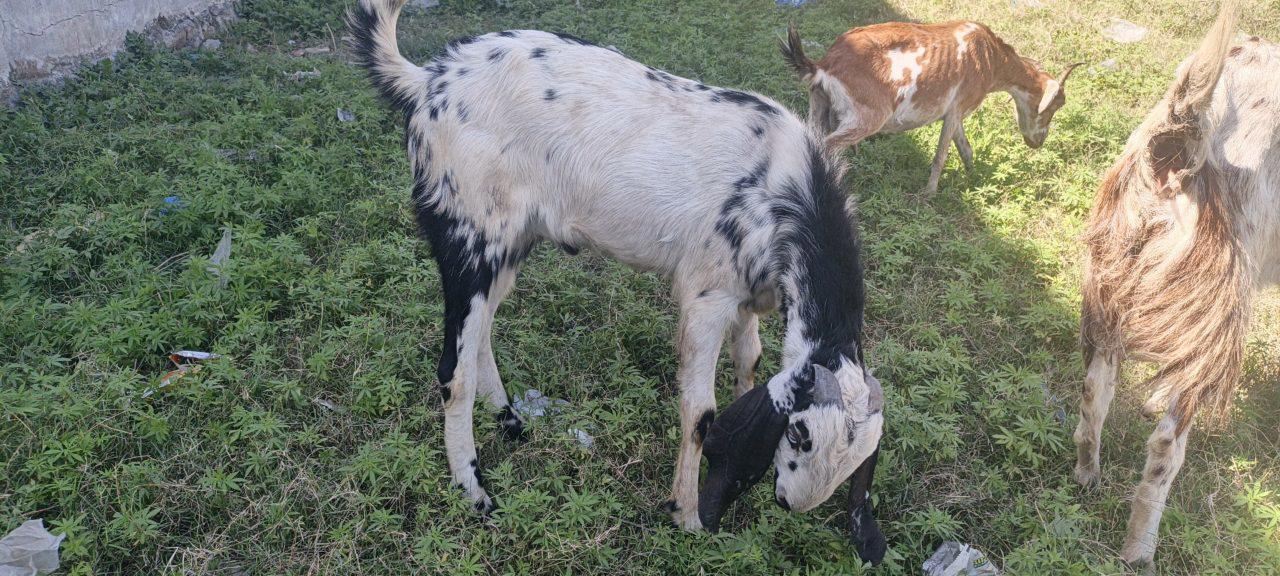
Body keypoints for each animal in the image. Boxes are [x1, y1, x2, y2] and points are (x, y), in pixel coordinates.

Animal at [348, 0, 887, 562]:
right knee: (454, 371)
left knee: (481, 335)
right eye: (800, 436)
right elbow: (701, 411)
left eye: (854, 462)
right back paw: (474, 491)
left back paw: (510, 419)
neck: (790, 192)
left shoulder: (749, 293)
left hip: (512, 241)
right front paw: (687, 515)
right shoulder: (708, 295)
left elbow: (751, 362)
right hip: (469, 233)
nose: (788, 502)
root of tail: (425, 81)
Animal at [781, 22, 1080, 194]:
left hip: (818, 104)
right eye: (1054, 106)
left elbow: (965, 147)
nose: (1038, 141)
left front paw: (974, 179)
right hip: (867, 117)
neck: (990, 57)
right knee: (827, 146)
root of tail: (824, 64)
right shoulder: (956, 109)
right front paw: (929, 194)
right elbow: (941, 154)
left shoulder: (956, 113)